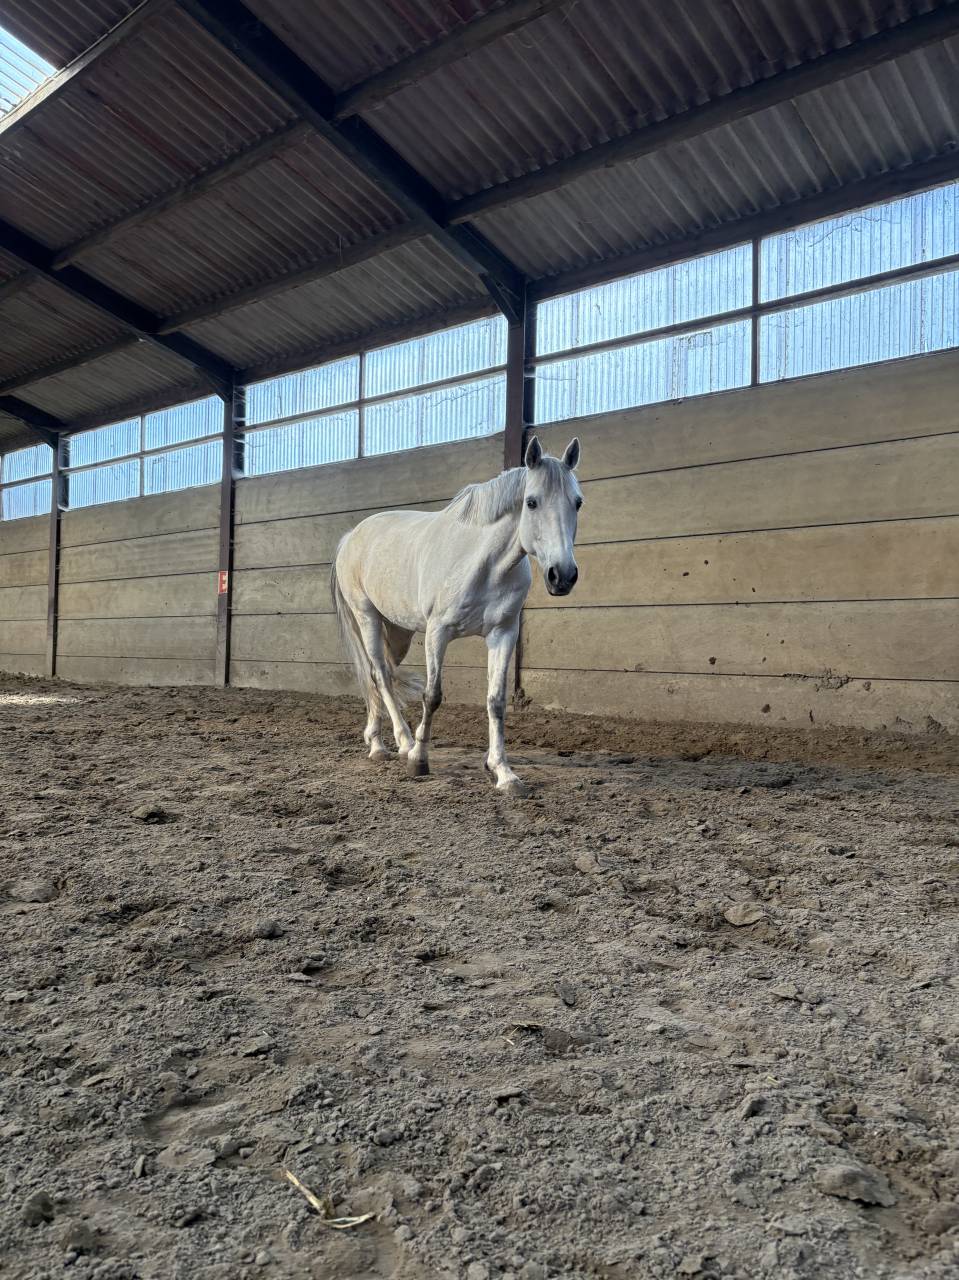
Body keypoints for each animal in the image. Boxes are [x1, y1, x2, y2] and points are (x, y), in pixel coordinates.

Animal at [330, 435, 582, 795]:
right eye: (532, 502)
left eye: (577, 503)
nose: (562, 576)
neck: (484, 563)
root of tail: (351, 537)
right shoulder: (439, 632)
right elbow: (432, 695)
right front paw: (419, 760)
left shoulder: (503, 633)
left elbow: (496, 701)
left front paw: (503, 772)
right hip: (368, 618)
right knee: (379, 673)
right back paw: (400, 743)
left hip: (398, 630)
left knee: (380, 676)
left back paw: (376, 740)